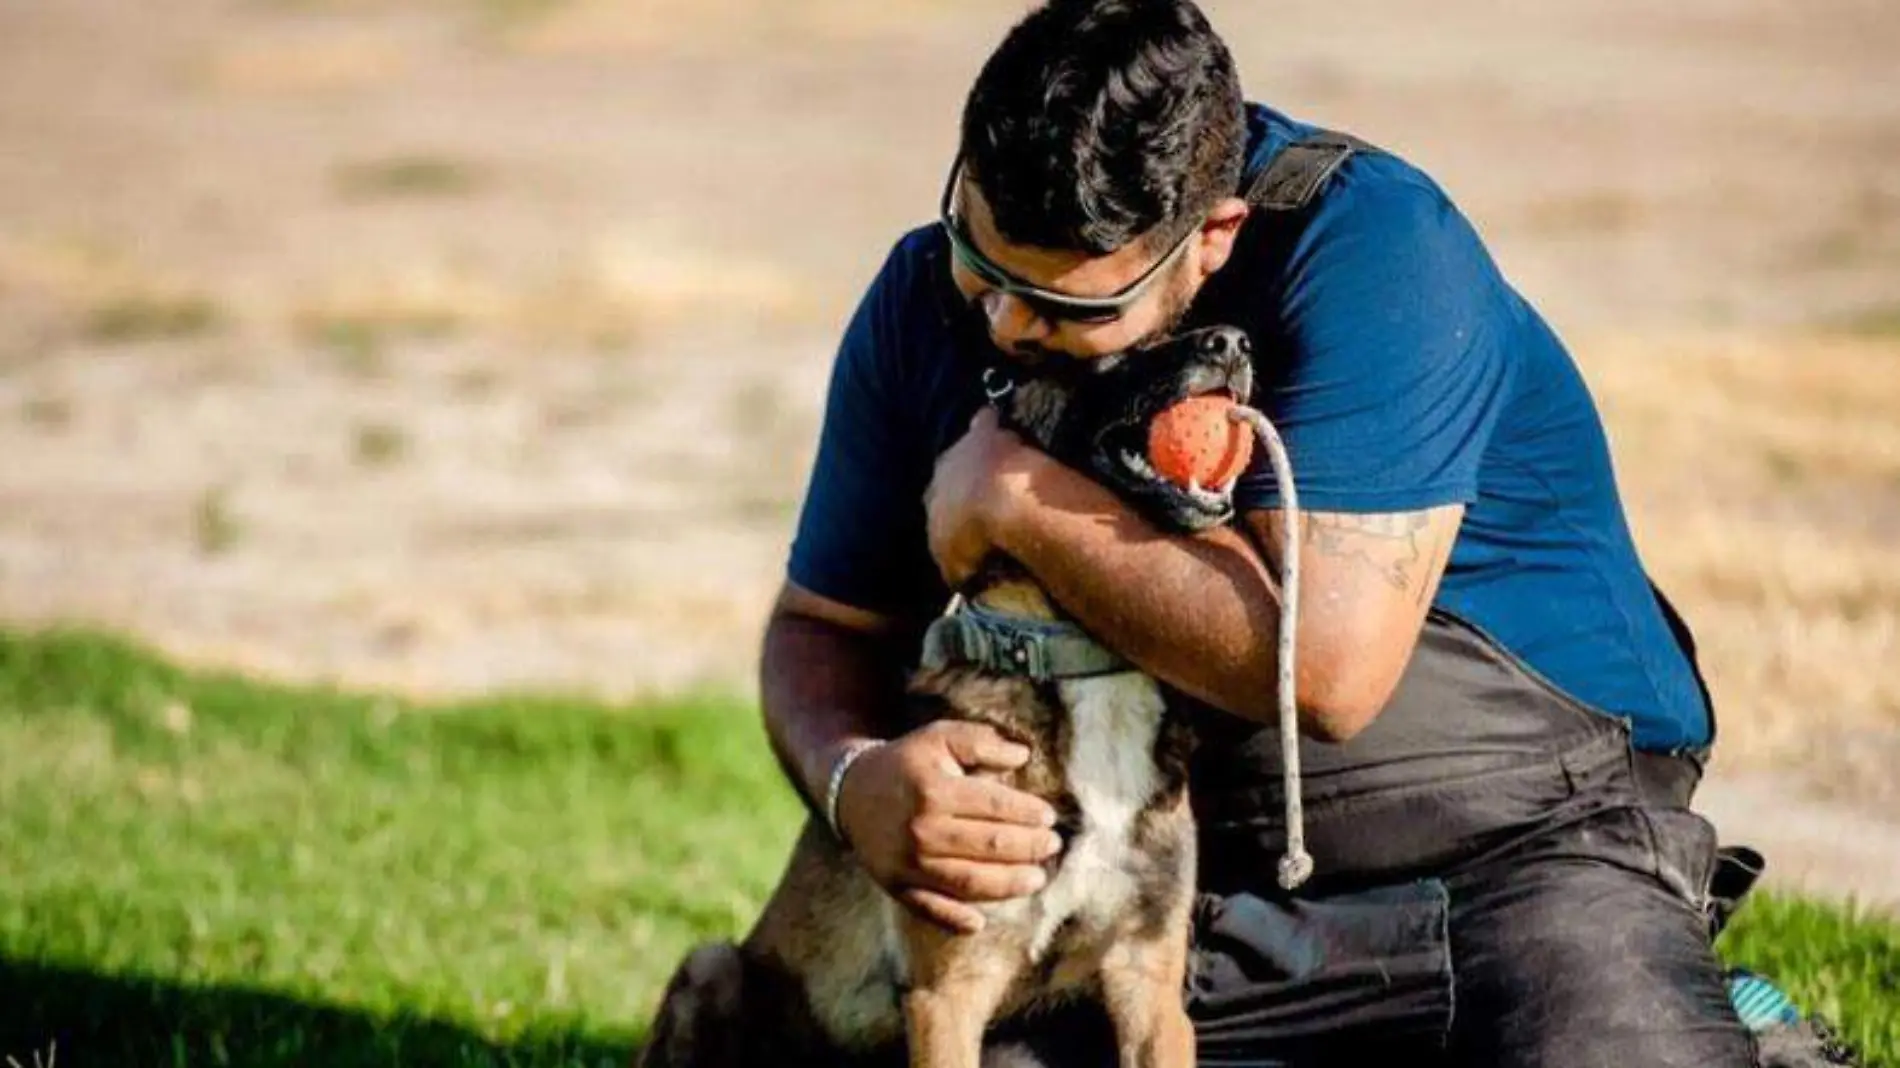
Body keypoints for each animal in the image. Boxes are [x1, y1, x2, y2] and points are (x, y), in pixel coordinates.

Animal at [642, 324, 1261, 1064]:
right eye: (1116, 354)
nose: (1234, 342)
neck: (1079, 665)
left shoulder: (1151, 992)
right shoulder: (948, 994)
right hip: (711, 968)